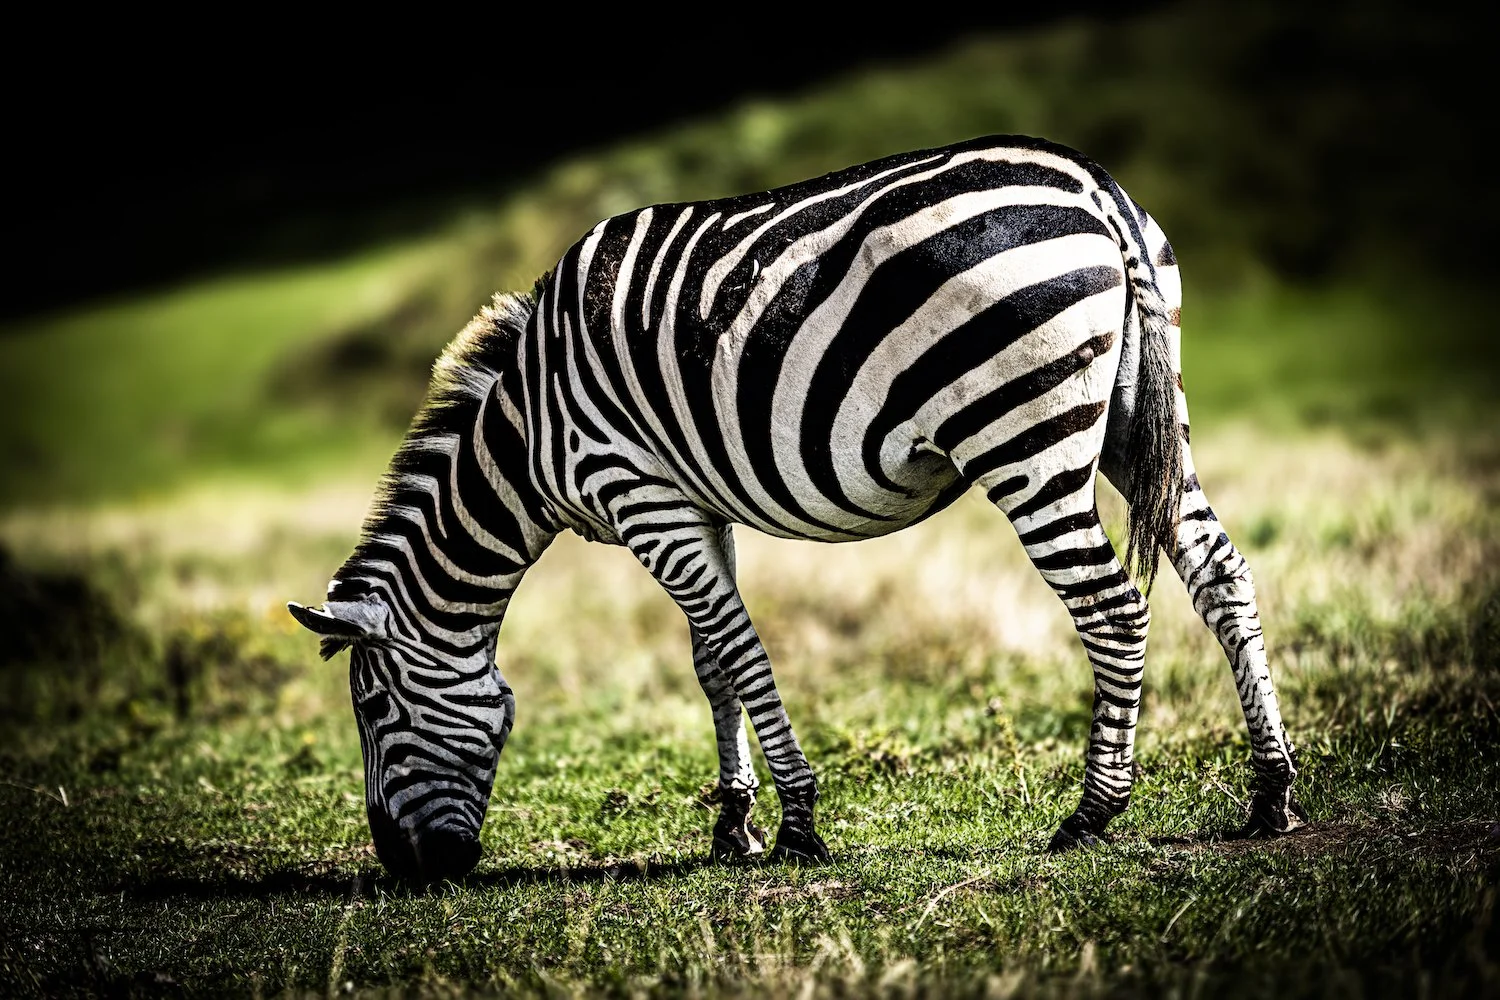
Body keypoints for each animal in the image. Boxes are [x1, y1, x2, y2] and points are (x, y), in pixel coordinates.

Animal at [288, 134, 1306, 881]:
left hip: (1023, 434)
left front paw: (797, 826)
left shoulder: (638, 492)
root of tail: (1096, 188)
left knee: (1113, 608)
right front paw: (733, 825)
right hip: (1141, 416)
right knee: (1220, 573)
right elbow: (709, 662)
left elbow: (740, 650)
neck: (528, 429)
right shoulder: (693, 502)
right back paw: (1270, 793)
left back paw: (1093, 813)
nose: (408, 869)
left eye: (372, 708)